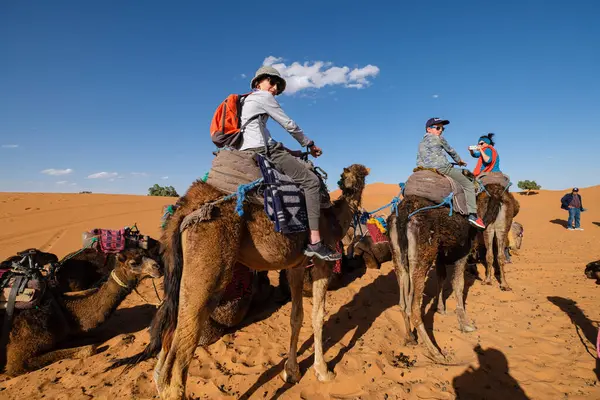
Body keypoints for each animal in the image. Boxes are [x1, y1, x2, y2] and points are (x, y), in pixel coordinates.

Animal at [2, 248, 162, 376]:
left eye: (149, 254)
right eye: (134, 263)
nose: (158, 267)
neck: (62, 310)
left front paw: (125, 337)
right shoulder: (17, 360)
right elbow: (89, 349)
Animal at [109, 163, 368, 400]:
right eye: (356, 175)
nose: (349, 184)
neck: (335, 217)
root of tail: (185, 206)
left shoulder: (294, 266)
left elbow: (296, 317)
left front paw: (291, 371)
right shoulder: (323, 261)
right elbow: (318, 316)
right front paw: (323, 371)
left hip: (178, 269)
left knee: (167, 341)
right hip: (210, 263)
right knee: (181, 351)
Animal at [386, 195, 476, 362]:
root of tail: (403, 213)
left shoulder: (441, 252)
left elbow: (441, 278)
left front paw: (441, 309)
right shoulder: (463, 248)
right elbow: (458, 283)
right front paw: (466, 324)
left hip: (398, 255)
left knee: (403, 302)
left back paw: (410, 338)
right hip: (422, 255)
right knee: (414, 307)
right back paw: (436, 352)